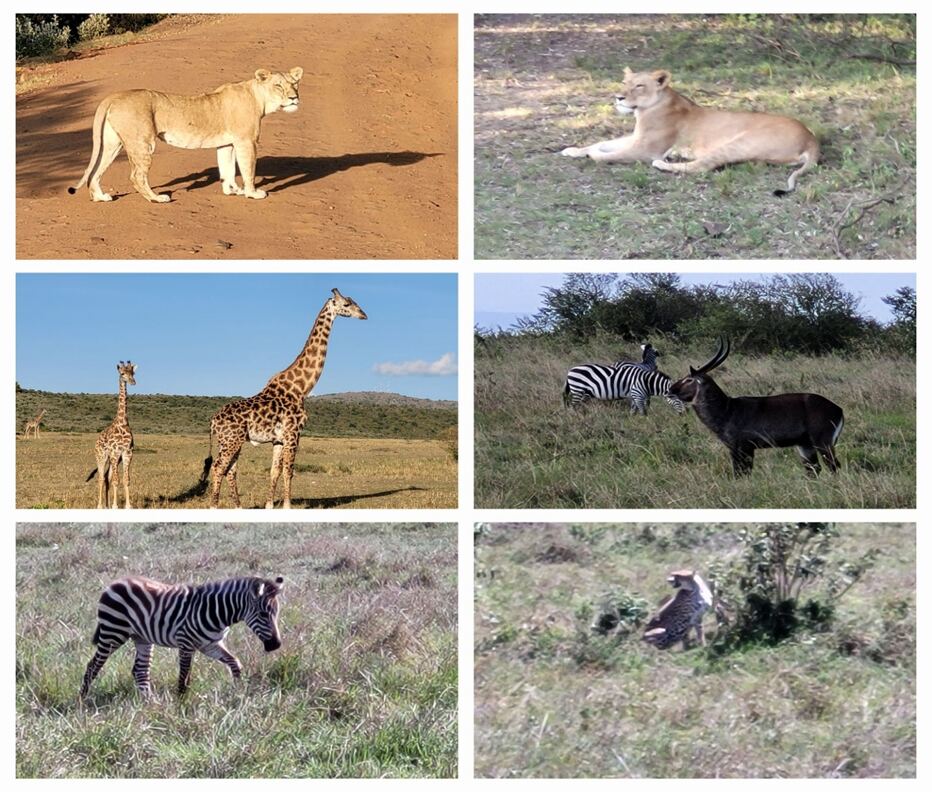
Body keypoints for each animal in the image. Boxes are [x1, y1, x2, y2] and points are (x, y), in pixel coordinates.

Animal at [68, 67, 304, 203]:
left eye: (295, 84)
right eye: (278, 86)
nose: (294, 98)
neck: (258, 97)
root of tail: (114, 96)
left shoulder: (227, 143)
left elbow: (227, 168)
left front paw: (231, 190)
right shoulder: (247, 141)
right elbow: (248, 169)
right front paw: (253, 193)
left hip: (111, 144)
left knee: (95, 171)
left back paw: (101, 197)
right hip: (143, 143)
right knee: (136, 175)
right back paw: (157, 198)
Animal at [80, 574, 284, 698]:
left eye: (276, 613)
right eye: (263, 614)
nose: (276, 645)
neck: (216, 612)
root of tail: (114, 583)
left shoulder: (210, 644)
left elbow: (235, 663)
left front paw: (237, 691)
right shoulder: (186, 643)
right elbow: (184, 676)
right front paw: (181, 703)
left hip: (142, 638)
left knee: (140, 671)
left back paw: (150, 703)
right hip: (113, 632)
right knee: (93, 666)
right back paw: (83, 699)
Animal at [86, 361, 137, 509]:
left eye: (133, 373)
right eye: (122, 373)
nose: (133, 382)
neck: (122, 422)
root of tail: (96, 441)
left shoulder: (127, 452)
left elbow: (126, 479)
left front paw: (128, 506)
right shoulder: (115, 452)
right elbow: (116, 480)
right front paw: (115, 506)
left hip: (113, 459)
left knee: (107, 477)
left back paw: (107, 505)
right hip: (101, 456)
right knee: (101, 478)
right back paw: (100, 506)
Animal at [200, 288, 367, 509]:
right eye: (347, 304)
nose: (364, 315)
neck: (301, 389)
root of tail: (212, 421)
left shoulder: (278, 439)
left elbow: (275, 471)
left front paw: (270, 505)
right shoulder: (293, 433)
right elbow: (289, 471)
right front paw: (287, 505)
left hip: (230, 441)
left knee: (230, 470)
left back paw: (238, 506)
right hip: (231, 440)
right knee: (219, 467)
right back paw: (214, 505)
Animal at [561, 67, 819, 195]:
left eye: (639, 85)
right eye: (625, 83)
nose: (618, 97)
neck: (643, 110)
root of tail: (810, 137)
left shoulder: (646, 149)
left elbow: (608, 154)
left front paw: (593, 155)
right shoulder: (636, 138)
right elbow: (601, 143)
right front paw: (572, 150)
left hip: (740, 143)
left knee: (701, 167)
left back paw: (664, 163)